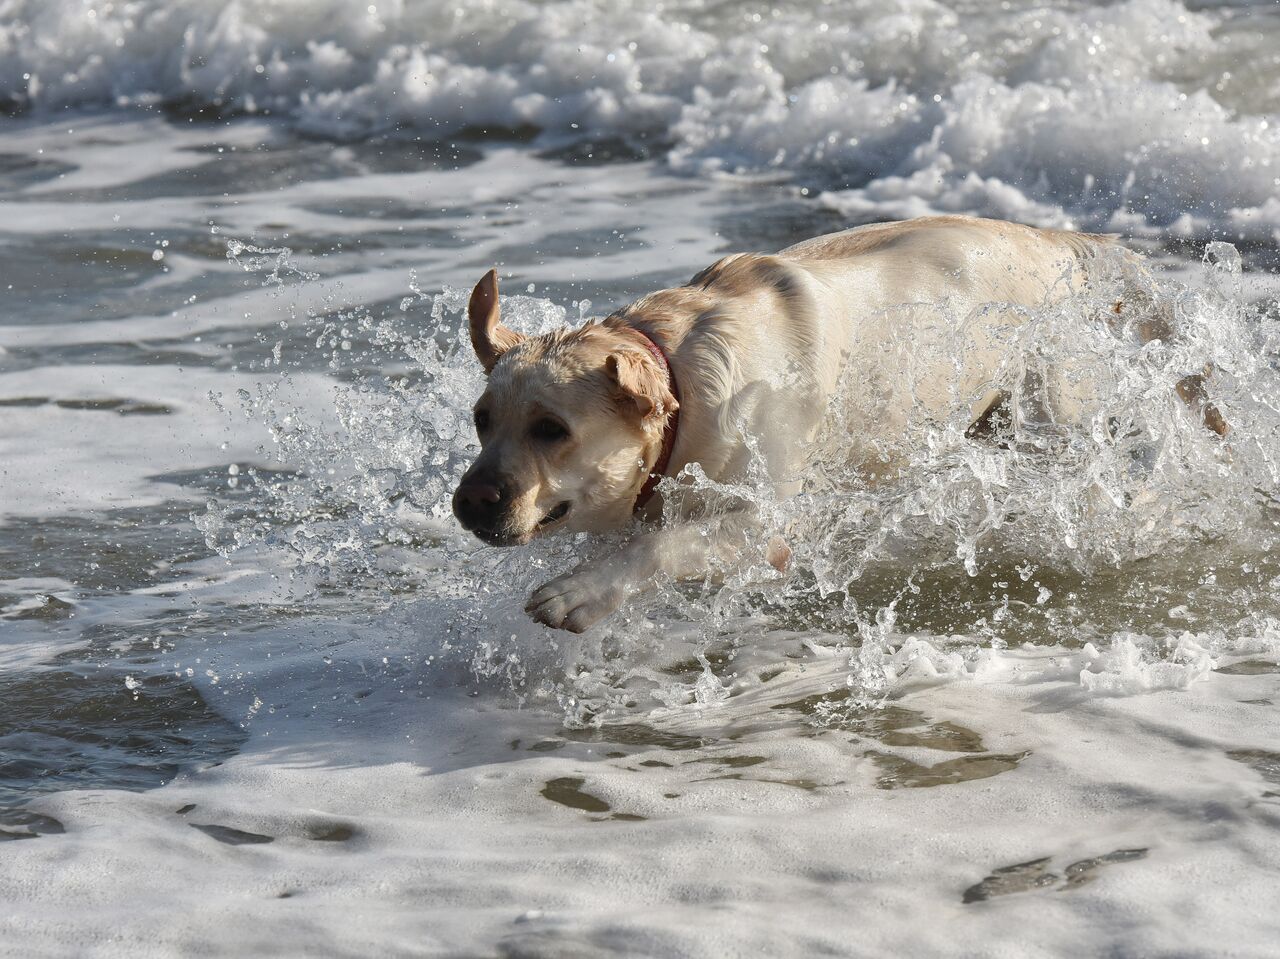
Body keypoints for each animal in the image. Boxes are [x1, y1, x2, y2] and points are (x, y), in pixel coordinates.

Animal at [448, 218, 1218, 635]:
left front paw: (579, 592)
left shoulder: (767, 528)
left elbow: (662, 547)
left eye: (552, 429)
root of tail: (1060, 242)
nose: (468, 502)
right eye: (482, 421)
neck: (683, 386)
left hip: (1052, 412)